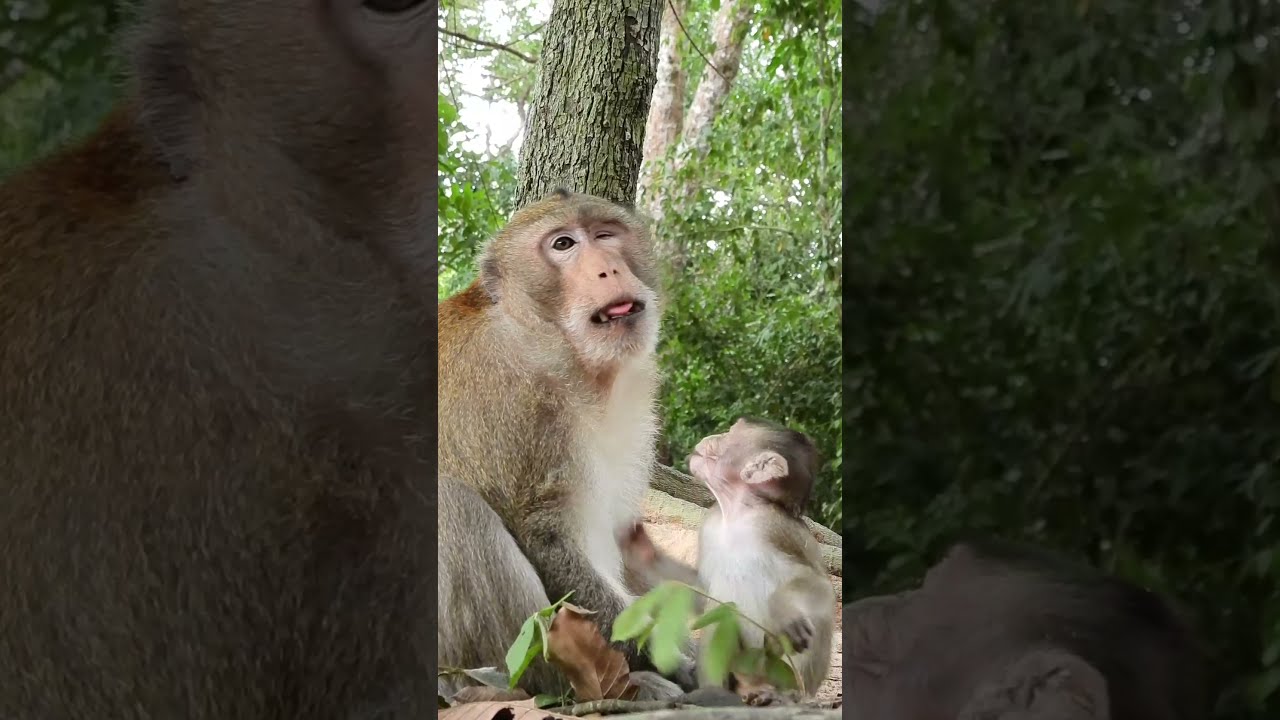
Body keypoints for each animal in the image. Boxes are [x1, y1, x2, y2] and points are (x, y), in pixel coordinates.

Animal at [435, 189, 694, 694]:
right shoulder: (511, 388)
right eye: (563, 244)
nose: (608, 269)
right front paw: (676, 657)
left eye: (606, 235)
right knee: (451, 504)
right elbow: (545, 534)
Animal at [620, 417, 837, 698]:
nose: (714, 436)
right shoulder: (708, 528)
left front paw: (785, 611)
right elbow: (703, 591)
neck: (736, 513)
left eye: (730, 435)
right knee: (722, 612)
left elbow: (820, 586)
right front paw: (642, 551)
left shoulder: (776, 529)